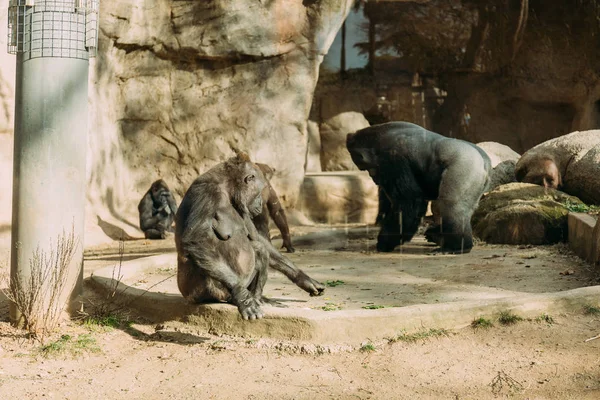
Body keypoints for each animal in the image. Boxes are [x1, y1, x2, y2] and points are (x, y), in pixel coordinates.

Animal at [176, 152, 326, 320]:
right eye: (259, 191)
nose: (260, 202)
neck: (227, 189)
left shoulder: (243, 206)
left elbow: (256, 237)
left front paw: (304, 279)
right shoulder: (206, 193)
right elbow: (196, 240)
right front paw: (242, 297)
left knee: (259, 249)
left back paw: (258, 298)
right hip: (201, 293)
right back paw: (240, 297)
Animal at [344, 121, 490, 253]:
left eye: (366, 168)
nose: (374, 179)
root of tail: (485, 161)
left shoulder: (391, 157)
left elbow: (409, 202)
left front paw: (386, 241)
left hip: (465, 165)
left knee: (452, 205)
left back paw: (456, 246)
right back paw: (441, 237)